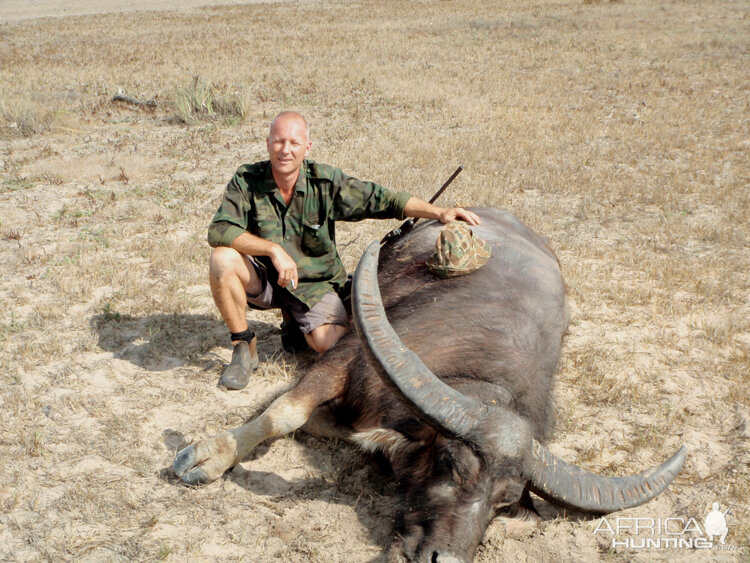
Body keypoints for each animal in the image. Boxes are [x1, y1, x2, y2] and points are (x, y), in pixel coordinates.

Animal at [175, 208, 688, 563]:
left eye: (504, 503)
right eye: (451, 464)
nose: (446, 558)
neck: (476, 373)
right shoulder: (343, 358)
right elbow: (286, 413)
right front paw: (205, 457)